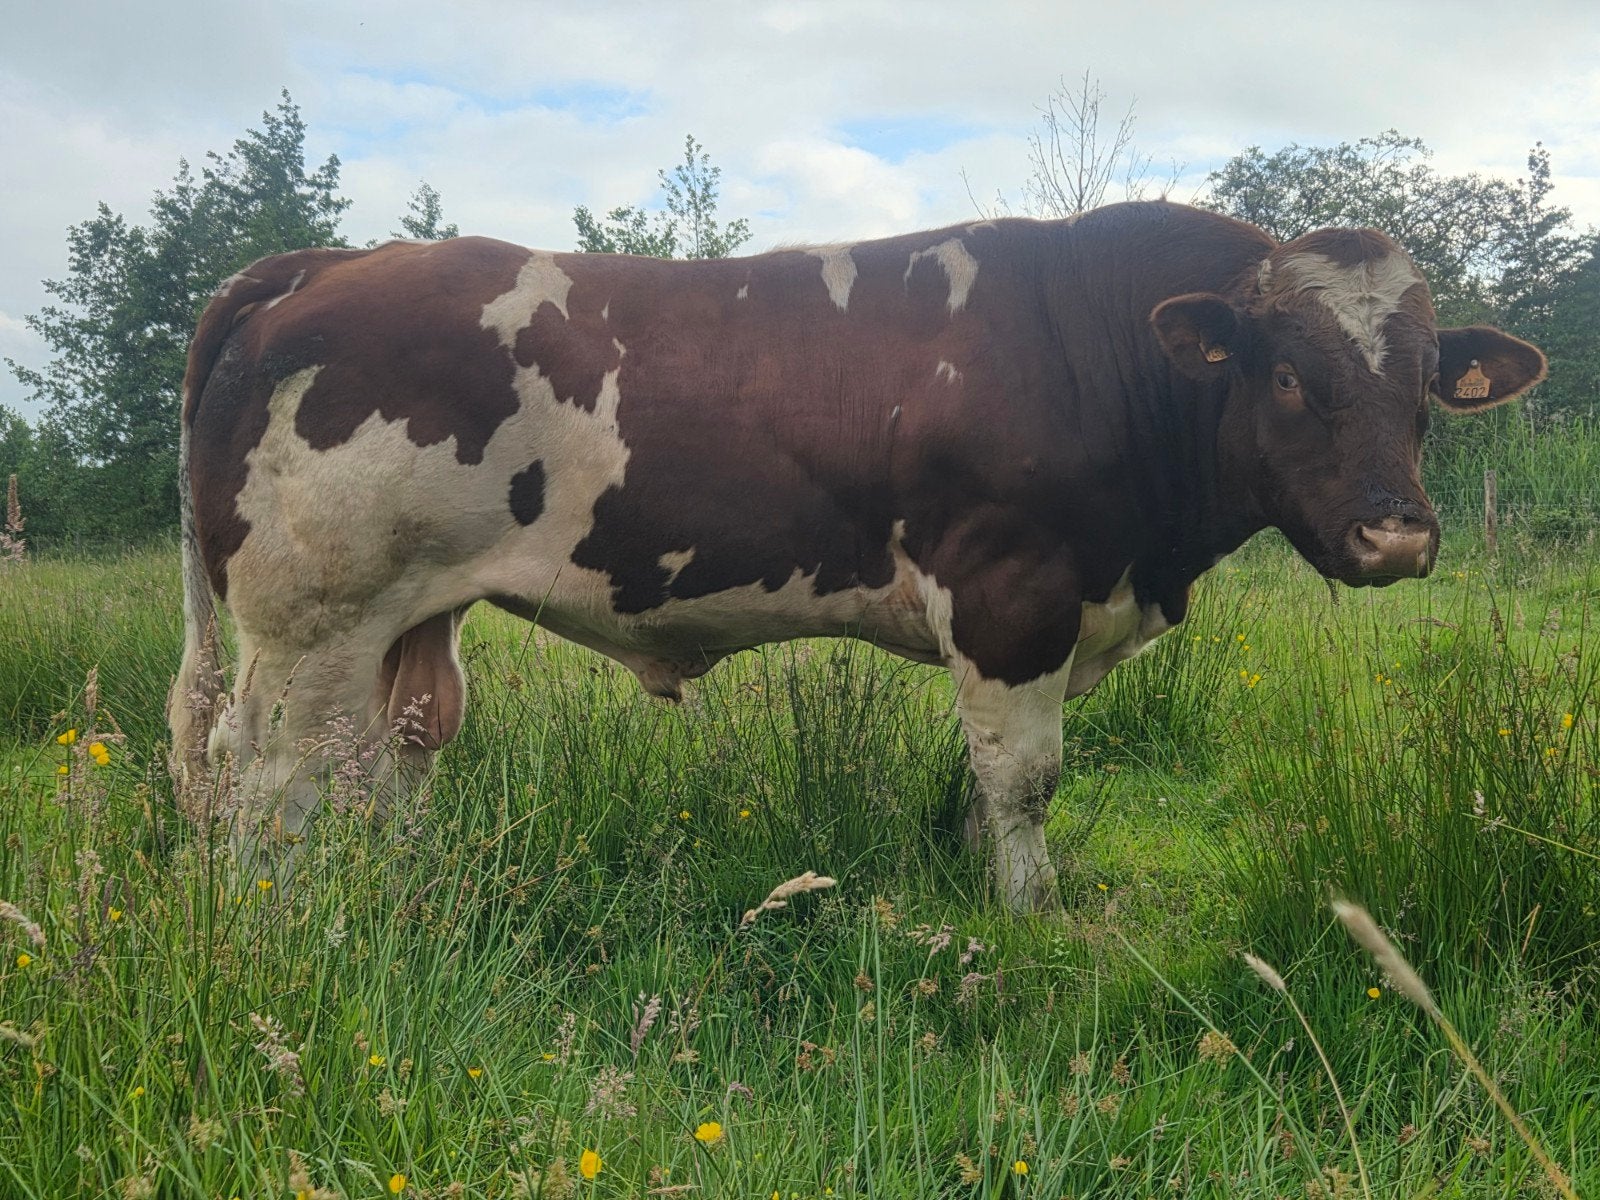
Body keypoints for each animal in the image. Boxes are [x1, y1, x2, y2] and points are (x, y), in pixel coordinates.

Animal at [168, 200, 1545, 911]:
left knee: (388, 757)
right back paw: (282, 924)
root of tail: (325, 261)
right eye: (1289, 376)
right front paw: (1033, 915)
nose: (1396, 533)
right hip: (310, 614)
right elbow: (1024, 778)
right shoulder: (1010, 593)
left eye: (1427, 380)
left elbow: (988, 783)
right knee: (267, 774)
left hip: (407, 612)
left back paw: (394, 897)